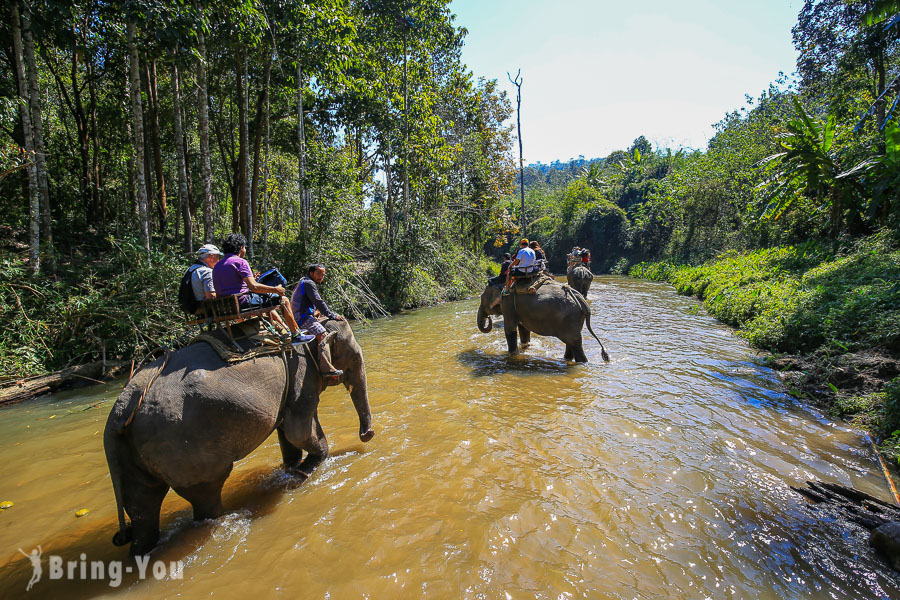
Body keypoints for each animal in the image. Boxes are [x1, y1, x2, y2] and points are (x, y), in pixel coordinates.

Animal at [103, 318, 372, 552]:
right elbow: (298, 430)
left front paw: (293, 468)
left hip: (130, 453)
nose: (367, 435)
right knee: (205, 495)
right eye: (354, 357)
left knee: (142, 505)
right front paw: (307, 470)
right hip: (183, 448)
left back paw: (143, 551)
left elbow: (287, 431)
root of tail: (121, 409)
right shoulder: (302, 372)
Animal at [474, 278, 608, 364]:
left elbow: (510, 329)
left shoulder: (508, 303)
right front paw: (525, 348)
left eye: (482, 299)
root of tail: (582, 300)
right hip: (574, 320)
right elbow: (524, 329)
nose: (488, 318)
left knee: (575, 343)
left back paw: (582, 362)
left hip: (569, 320)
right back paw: (565, 359)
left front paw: (512, 354)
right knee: (571, 342)